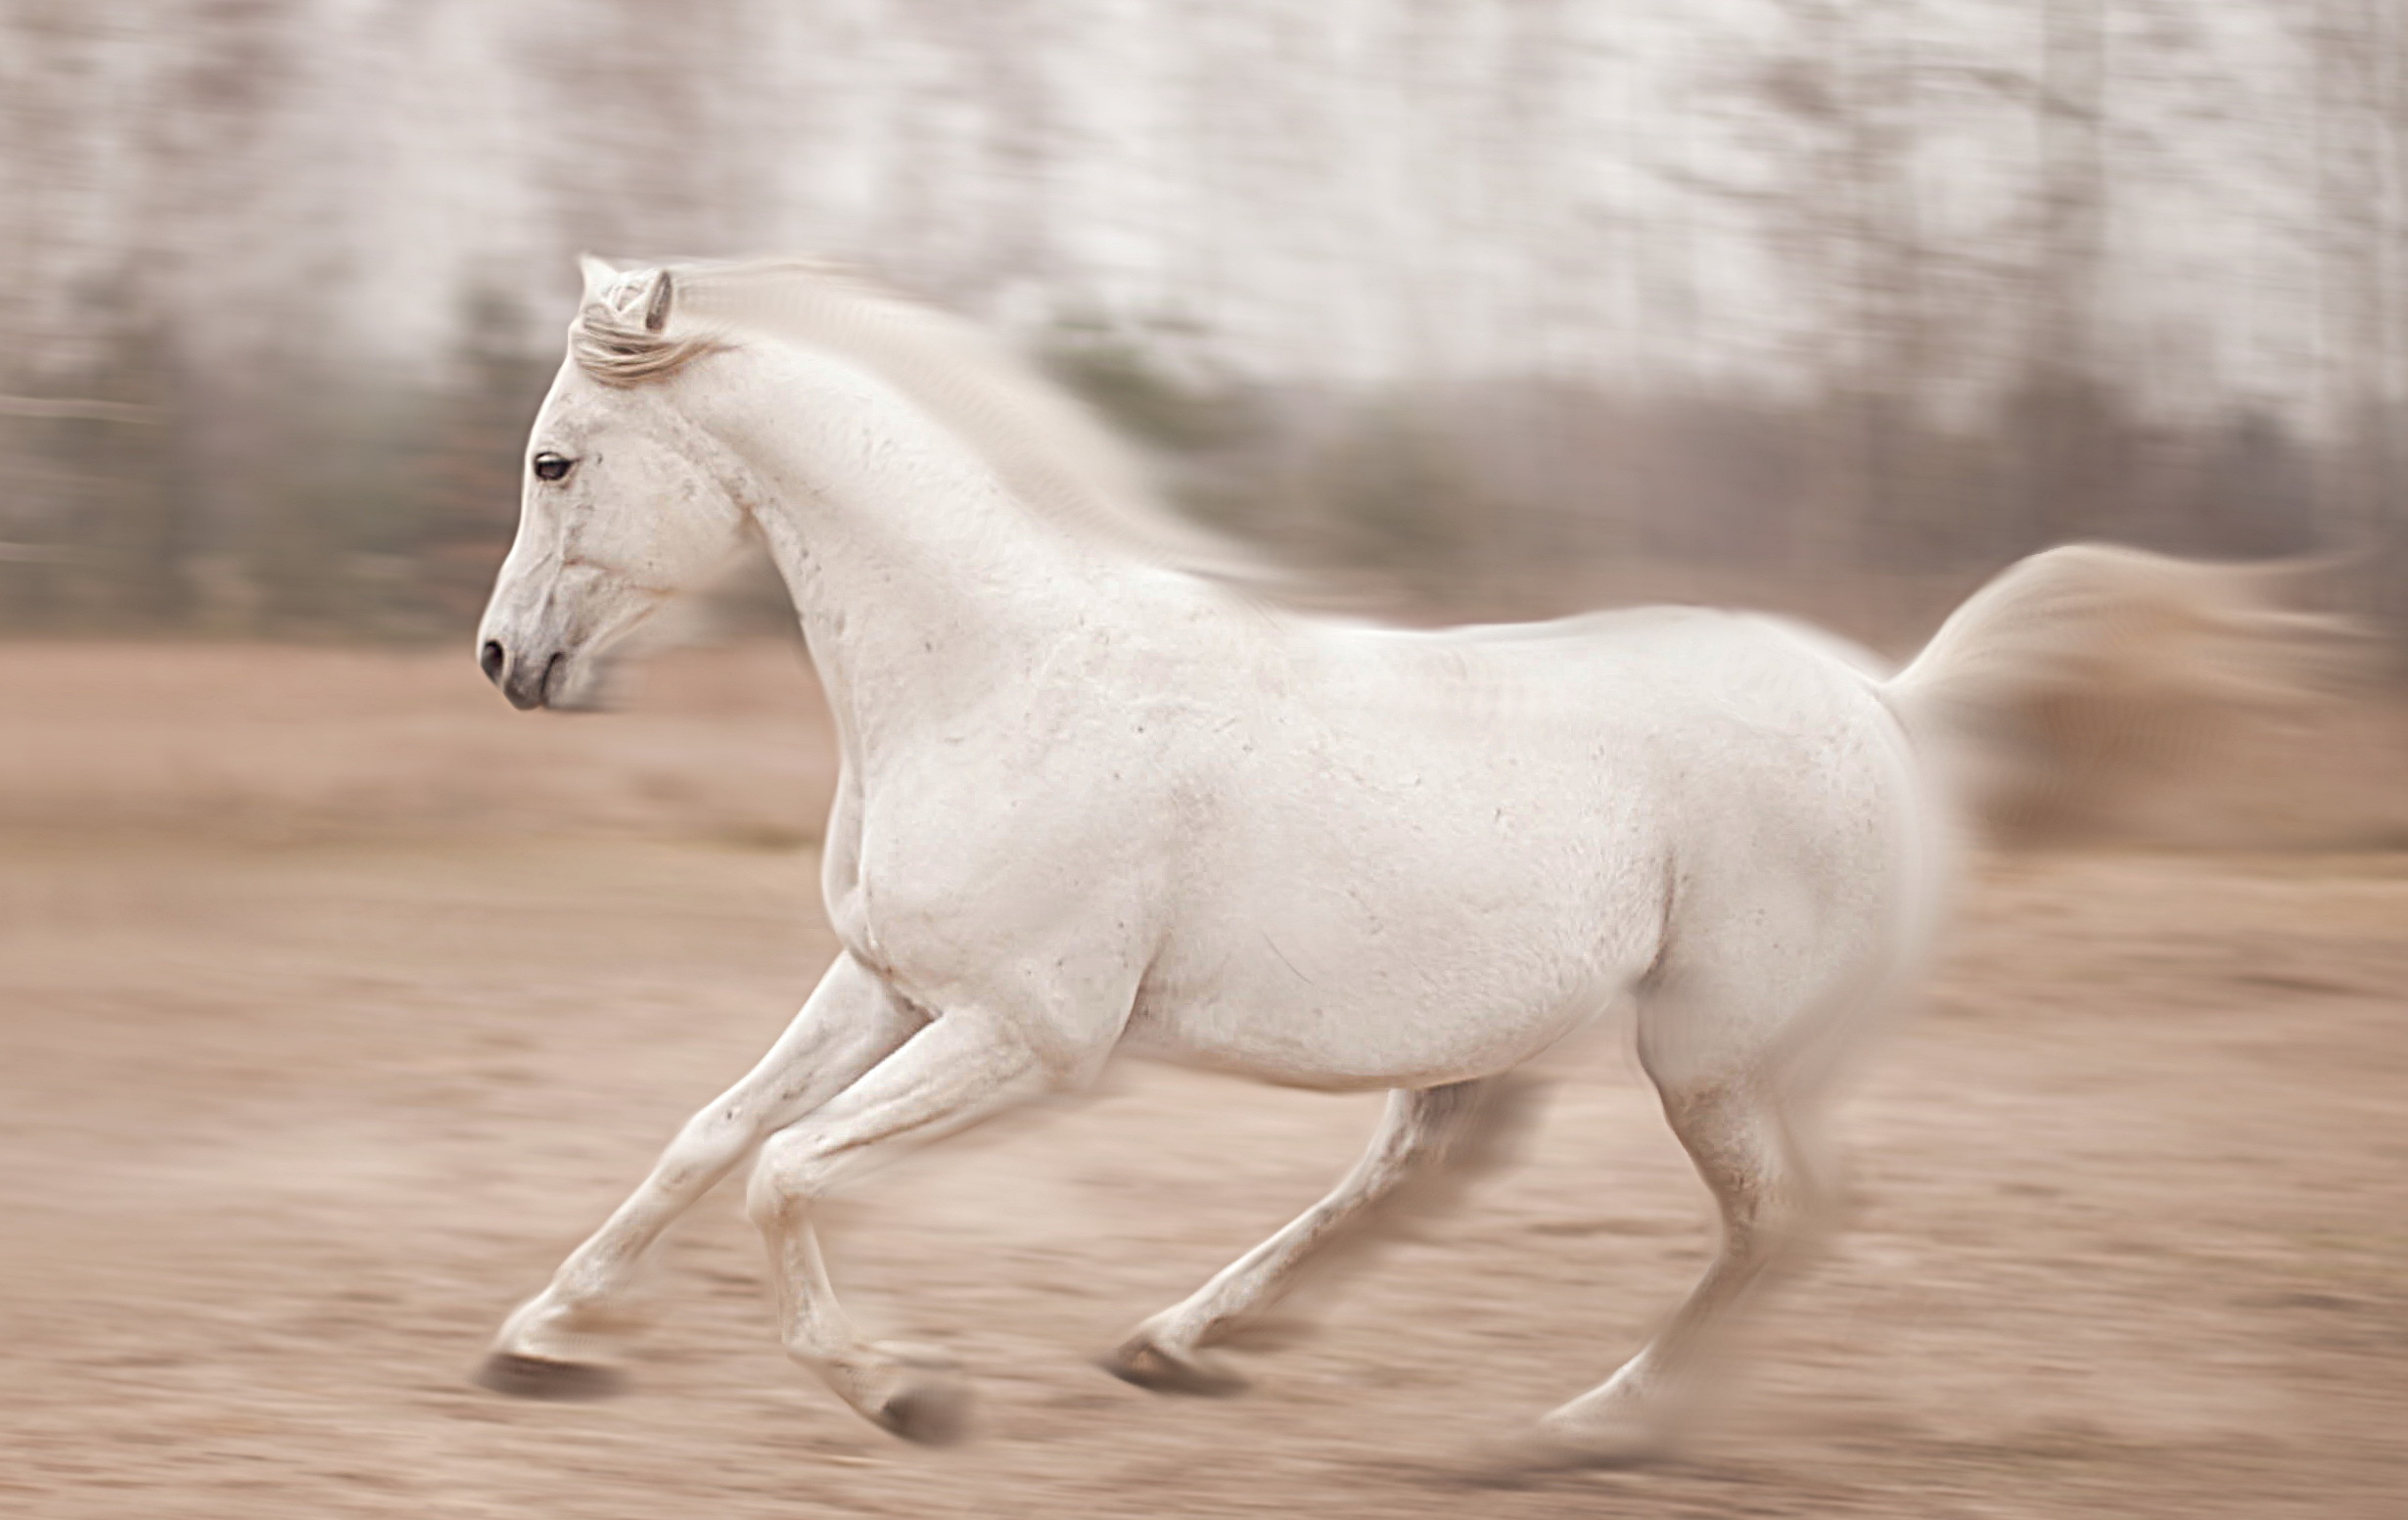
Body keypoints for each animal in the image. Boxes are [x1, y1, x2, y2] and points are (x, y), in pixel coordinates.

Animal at [469, 254, 2331, 1464]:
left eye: (556, 457)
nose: (504, 663)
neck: (1002, 671)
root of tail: (1887, 701)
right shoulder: (888, 983)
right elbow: (711, 1135)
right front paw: (543, 1340)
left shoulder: (1028, 1037)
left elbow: (787, 1172)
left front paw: (903, 1387)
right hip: (1525, 1039)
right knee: (1433, 1168)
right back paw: (1185, 1344)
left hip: (1710, 1056)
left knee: (1780, 1221)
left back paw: (1588, 1426)